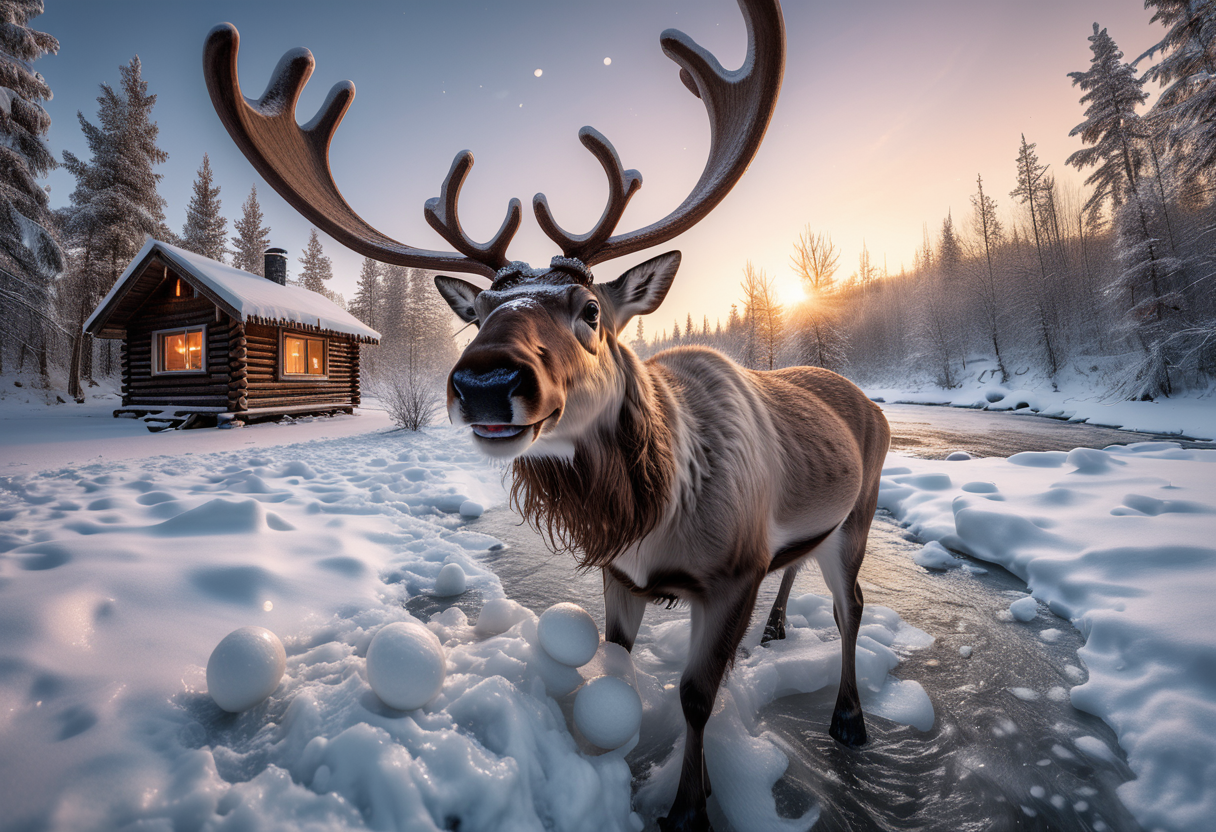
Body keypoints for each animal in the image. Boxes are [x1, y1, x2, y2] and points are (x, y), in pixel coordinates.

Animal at [203, 1, 890, 829]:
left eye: (590, 309)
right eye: (478, 315)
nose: (485, 380)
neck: (657, 509)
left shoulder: (732, 571)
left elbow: (697, 697)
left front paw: (688, 807)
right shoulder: (623, 575)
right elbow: (618, 662)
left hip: (860, 511)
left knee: (852, 605)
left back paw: (849, 716)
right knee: (801, 573)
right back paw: (783, 628)